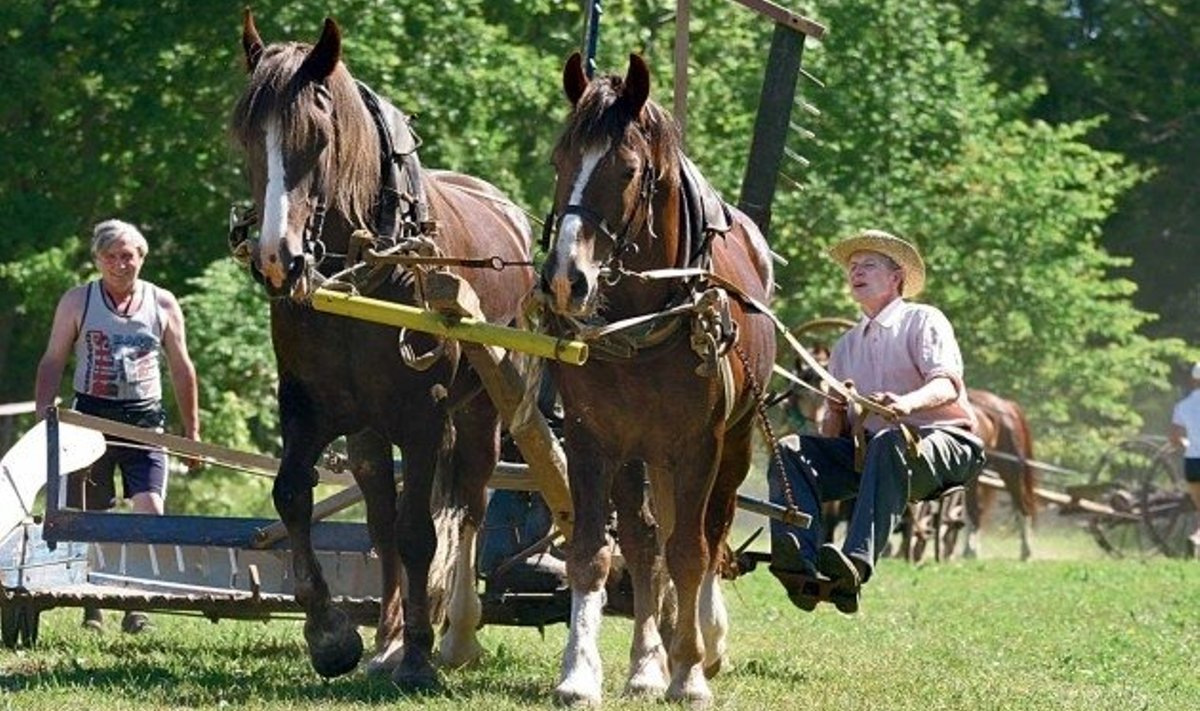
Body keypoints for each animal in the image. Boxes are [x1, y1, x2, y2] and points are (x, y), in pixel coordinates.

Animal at [231, 12, 532, 686]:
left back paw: (456, 635)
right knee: (381, 518)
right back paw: (388, 640)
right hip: (368, 431)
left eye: (316, 138)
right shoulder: (306, 405)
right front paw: (332, 635)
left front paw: (419, 655)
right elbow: (295, 496)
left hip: (482, 410)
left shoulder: (424, 416)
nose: (276, 258)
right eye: (244, 136)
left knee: (469, 504)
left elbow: (422, 532)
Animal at [537, 51, 772, 706]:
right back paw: (646, 664)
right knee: (645, 543)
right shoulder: (593, 440)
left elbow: (690, 553)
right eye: (560, 160)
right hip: (641, 452)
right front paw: (579, 673)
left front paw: (689, 673)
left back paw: (701, 643)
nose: (565, 280)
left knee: (708, 534)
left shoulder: (698, 445)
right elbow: (594, 552)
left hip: (730, 446)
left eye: (628, 169)